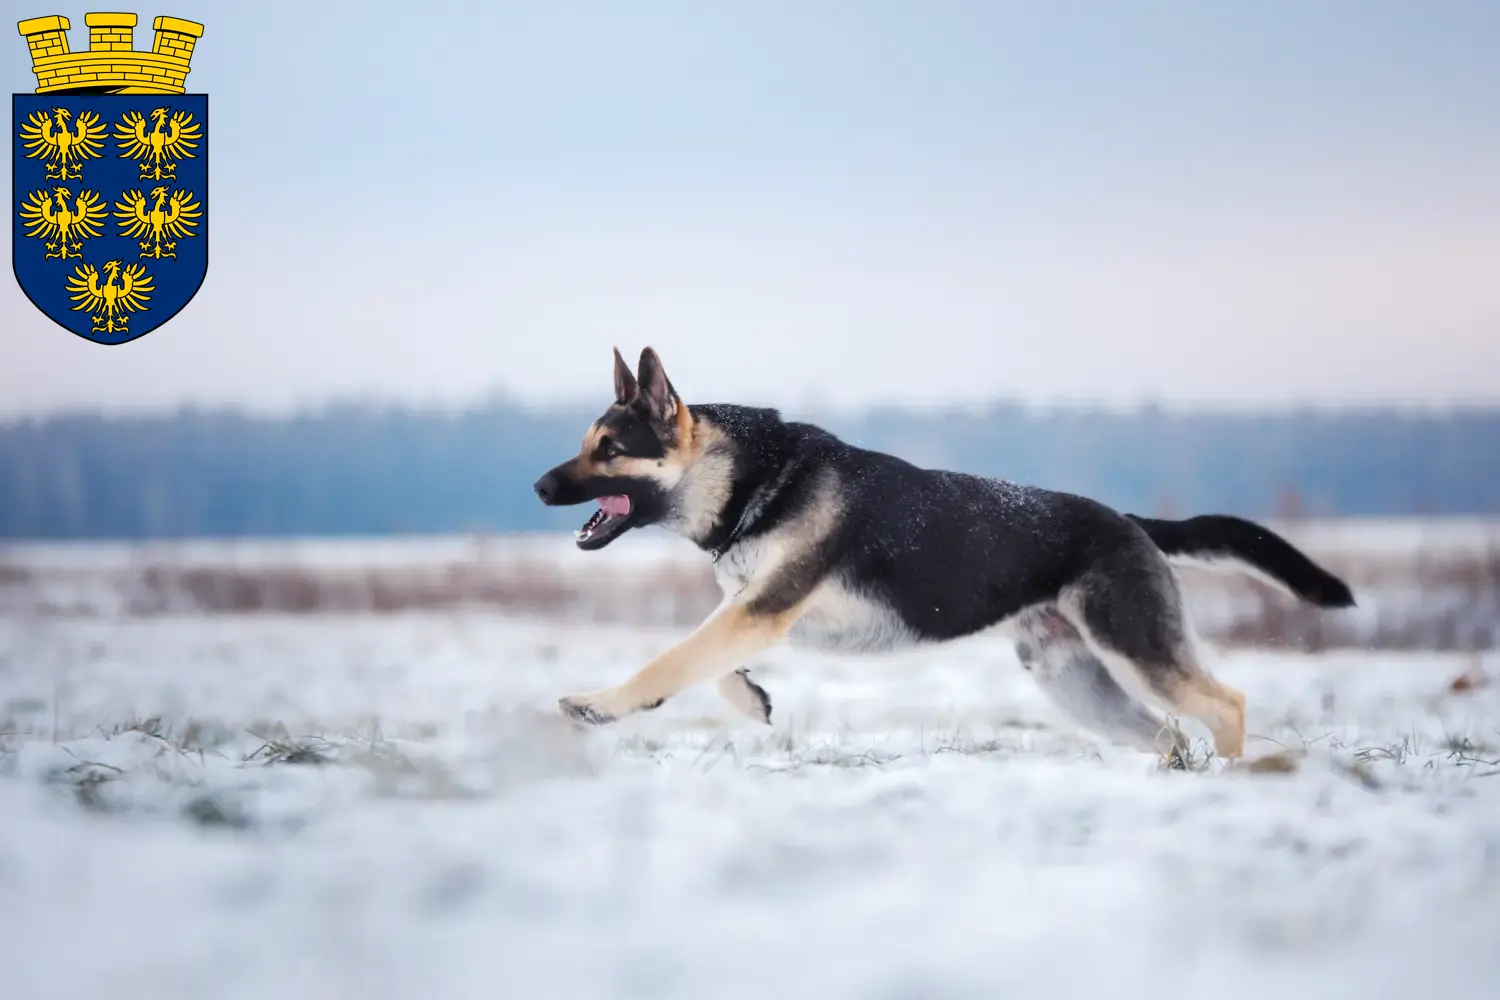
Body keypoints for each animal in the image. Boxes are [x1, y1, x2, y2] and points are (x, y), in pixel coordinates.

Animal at [534, 346, 1356, 758]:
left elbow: (667, 661)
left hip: (1134, 648)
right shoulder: (748, 610)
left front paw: (600, 705)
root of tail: (1127, 521)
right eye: (584, 443)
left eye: (610, 451)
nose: (538, 486)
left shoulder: (759, 611)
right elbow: (704, 662)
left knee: (1225, 705)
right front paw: (750, 698)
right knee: (1170, 734)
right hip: (1075, 681)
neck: (746, 479)